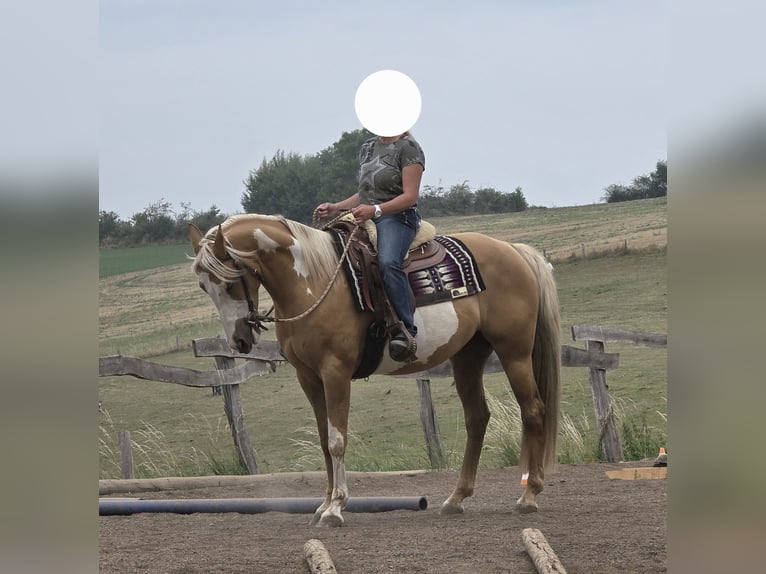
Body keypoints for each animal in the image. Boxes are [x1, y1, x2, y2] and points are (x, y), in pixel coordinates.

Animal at [189, 213, 560, 527]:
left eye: (231, 283)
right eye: (205, 287)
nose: (239, 340)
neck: (313, 281)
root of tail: (514, 250)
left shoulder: (335, 372)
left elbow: (337, 441)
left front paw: (336, 508)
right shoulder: (308, 377)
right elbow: (324, 440)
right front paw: (323, 505)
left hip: (514, 352)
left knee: (533, 410)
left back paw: (529, 495)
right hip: (468, 356)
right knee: (477, 418)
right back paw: (456, 498)